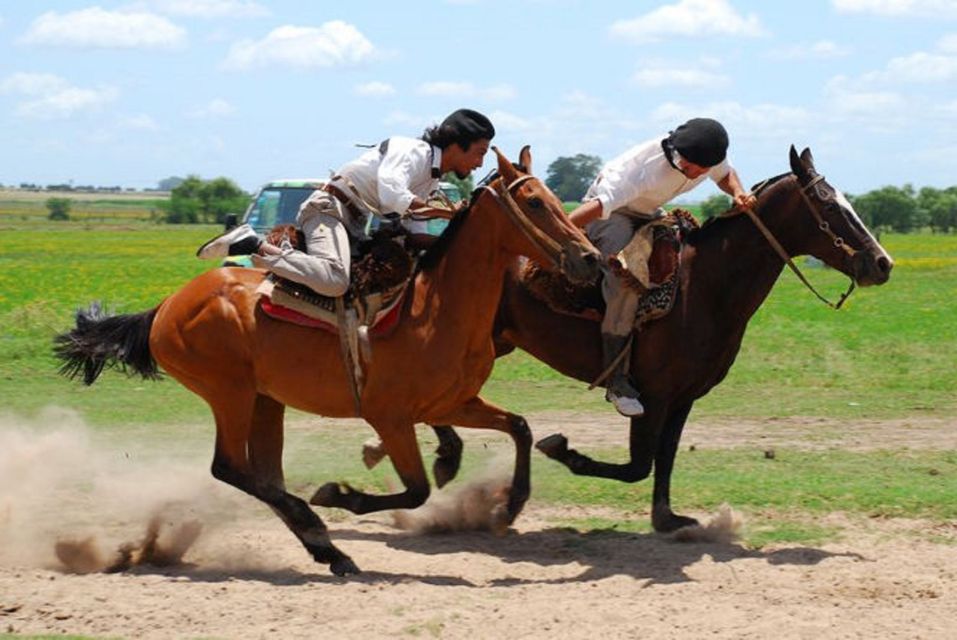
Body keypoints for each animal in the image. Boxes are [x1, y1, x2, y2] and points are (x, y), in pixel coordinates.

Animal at [54, 148, 596, 576]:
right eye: (534, 202)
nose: (589, 258)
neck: (434, 307)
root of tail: (167, 306)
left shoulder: (451, 402)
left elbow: (519, 427)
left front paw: (509, 507)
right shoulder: (391, 417)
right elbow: (416, 489)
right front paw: (339, 494)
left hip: (265, 401)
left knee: (263, 475)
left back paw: (326, 548)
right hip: (229, 393)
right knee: (229, 468)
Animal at [394, 148, 888, 532]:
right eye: (830, 207)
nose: (882, 263)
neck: (703, 285)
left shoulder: (684, 396)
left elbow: (663, 459)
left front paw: (667, 519)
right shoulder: (654, 393)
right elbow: (638, 465)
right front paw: (564, 451)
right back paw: (448, 458)